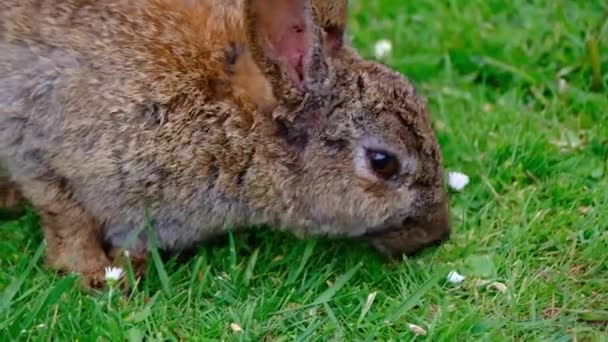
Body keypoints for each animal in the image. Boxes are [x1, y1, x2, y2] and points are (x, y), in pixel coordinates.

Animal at [0, 0, 446, 288]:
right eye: (383, 162)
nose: (438, 235)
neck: (237, 127)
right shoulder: (38, 139)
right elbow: (65, 216)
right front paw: (95, 276)